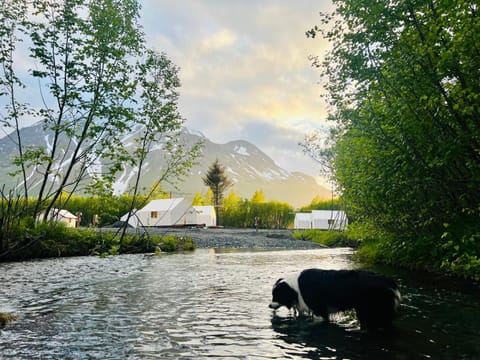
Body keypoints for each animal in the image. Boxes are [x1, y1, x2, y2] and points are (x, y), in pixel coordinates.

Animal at [270, 268, 402, 330]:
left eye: (276, 296)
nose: (269, 305)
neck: (295, 288)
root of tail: (388, 281)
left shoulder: (319, 310)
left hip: (370, 310)